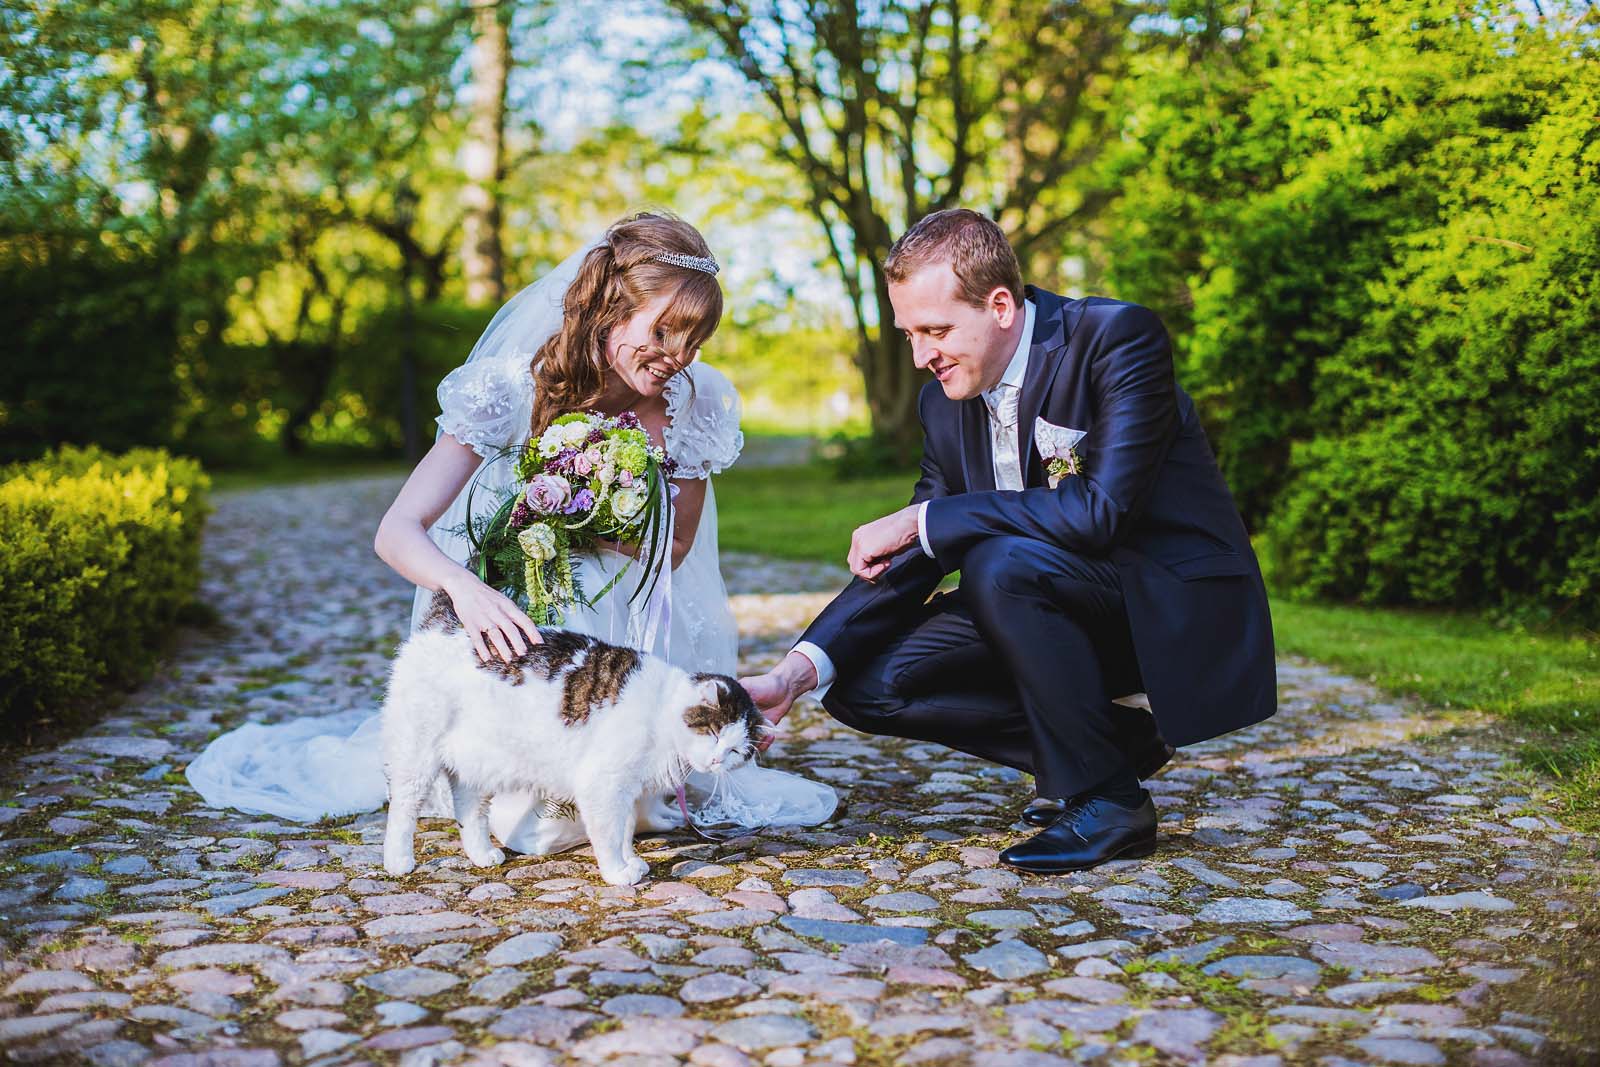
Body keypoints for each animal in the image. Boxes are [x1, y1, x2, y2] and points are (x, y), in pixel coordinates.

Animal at [380, 591, 768, 883]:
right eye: (714, 732)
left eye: (736, 751)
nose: (717, 760)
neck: (661, 709)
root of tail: (444, 622)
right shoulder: (603, 784)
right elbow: (608, 834)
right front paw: (617, 872)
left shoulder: (626, 789)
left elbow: (626, 829)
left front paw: (630, 860)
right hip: (417, 756)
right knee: (403, 807)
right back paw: (398, 861)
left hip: (476, 763)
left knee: (469, 811)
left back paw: (481, 854)